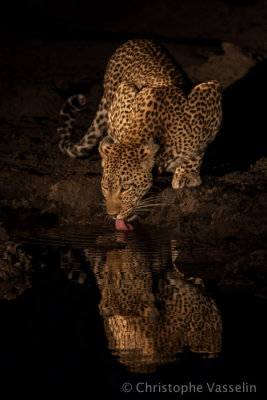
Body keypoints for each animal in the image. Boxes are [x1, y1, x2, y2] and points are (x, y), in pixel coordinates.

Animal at [58, 40, 224, 225]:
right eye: (105, 186)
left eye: (126, 187)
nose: (112, 214)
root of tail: (134, 40)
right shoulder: (123, 93)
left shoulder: (210, 92)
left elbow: (199, 149)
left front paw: (187, 175)